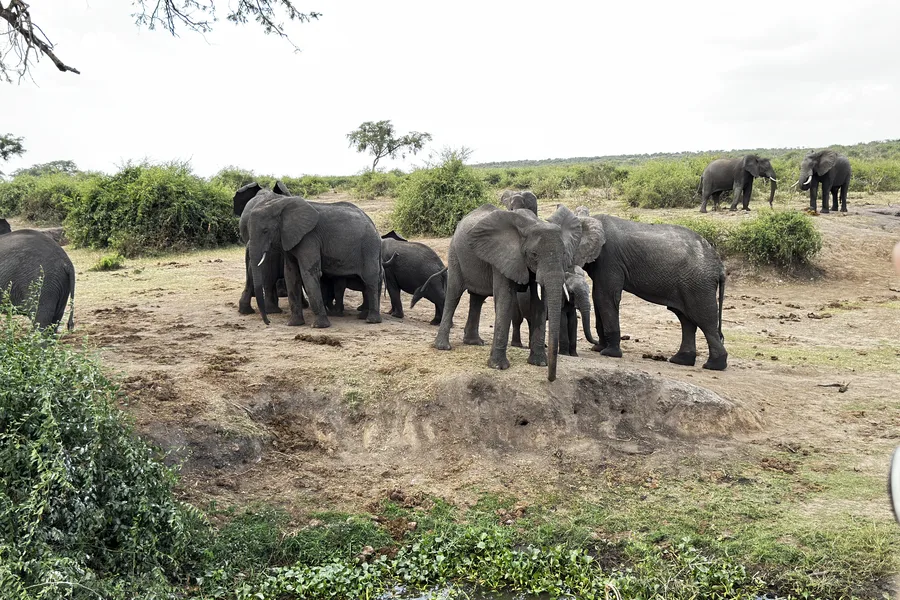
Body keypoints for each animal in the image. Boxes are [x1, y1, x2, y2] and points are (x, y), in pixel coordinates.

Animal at [245, 194, 383, 327]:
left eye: (265, 231)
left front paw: (319, 325)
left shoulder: (309, 238)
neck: (279, 204)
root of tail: (373, 225)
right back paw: (365, 317)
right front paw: (294, 324)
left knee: (370, 279)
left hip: (368, 247)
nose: (268, 322)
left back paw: (371, 320)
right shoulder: (289, 239)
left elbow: (308, 273)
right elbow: (290, 275)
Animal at [434, 204, 591, 381]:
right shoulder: (503, 256)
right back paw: (443, 346)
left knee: (477, 298)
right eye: (534, 255)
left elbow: (539, 304)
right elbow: (505, 298)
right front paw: (498, 367)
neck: (532, 223)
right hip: (455, 253)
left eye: (564, 254)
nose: (551, 378)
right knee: (454, 295)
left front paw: (539, 363)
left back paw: (474, 342)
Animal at [582, 214, 728, 370]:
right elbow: (597, 296)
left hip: (698, 284)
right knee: (686, 319)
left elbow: (605, 297)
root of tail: (720, 266)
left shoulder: (610, 259)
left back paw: (713, 365)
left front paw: (608, 353)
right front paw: (598, 349)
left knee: (704, 320)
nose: (595, 342)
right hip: (689, 284)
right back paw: (681, 360)